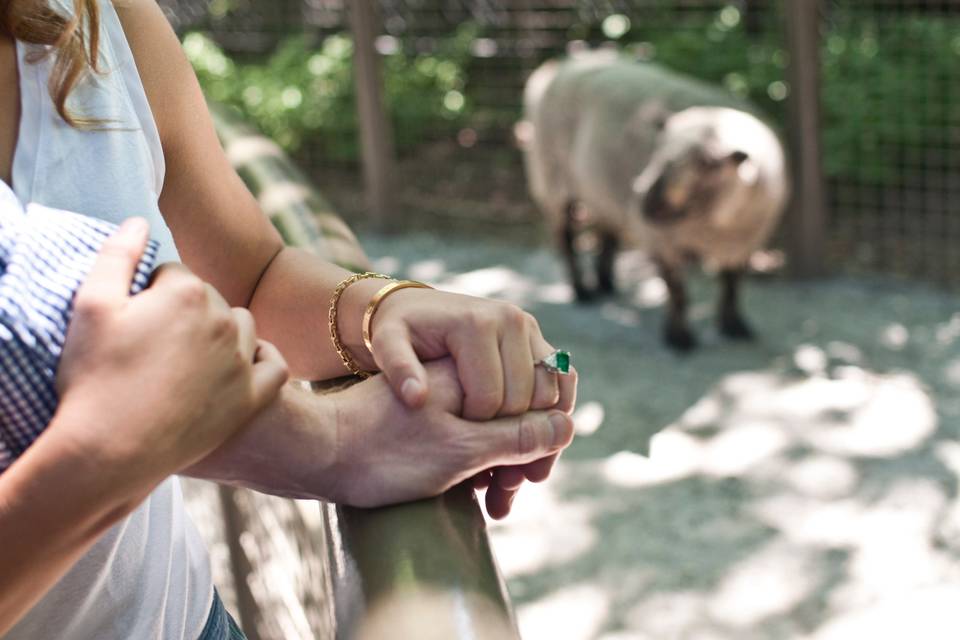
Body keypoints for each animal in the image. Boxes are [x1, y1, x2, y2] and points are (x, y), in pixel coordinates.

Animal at [520, 53, 792, 350]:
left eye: (708, 164)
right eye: (658, 150)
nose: (644, 201)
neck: (716, 223)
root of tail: (562, 64)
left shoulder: (744, 242)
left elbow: (732, 284)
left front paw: (735, 325)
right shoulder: (662, 240)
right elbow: (678, 291)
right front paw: (679, 337)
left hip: (599, 186)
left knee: (606, 229)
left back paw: (606, 283)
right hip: (552, 176)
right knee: (566, 238)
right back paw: (582, 291)